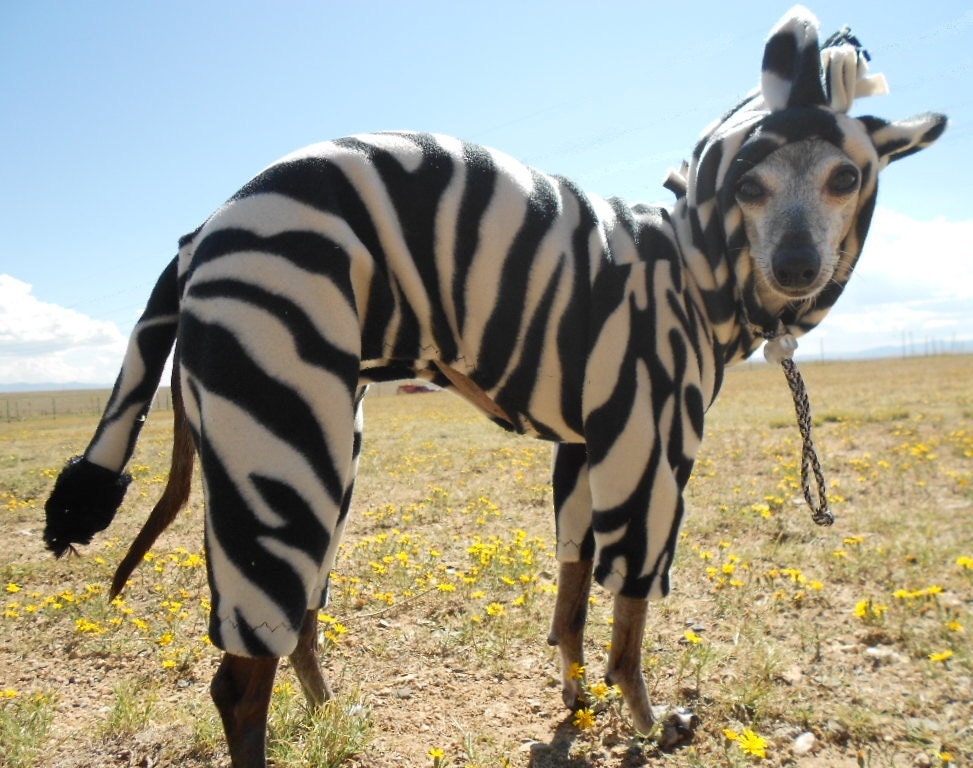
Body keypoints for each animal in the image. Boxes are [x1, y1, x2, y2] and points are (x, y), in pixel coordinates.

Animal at [43, 7, 945, 765]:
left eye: (843, 178)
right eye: (749, 186)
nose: (795, 267)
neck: (692, 270)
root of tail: (203, 233)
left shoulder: (585, 454)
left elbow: (572, 606)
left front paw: (576, 704)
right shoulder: (649, 455)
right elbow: (628, 623)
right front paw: (648, 724)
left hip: (324, 452)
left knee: (295, 621)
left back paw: (332, 717)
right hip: (279, 443)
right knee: (240, 676)